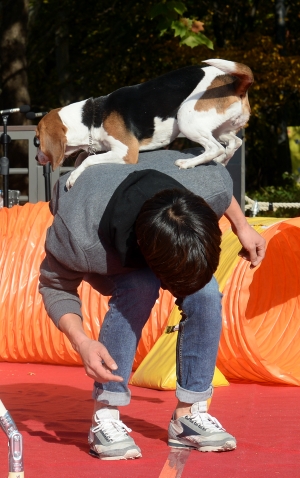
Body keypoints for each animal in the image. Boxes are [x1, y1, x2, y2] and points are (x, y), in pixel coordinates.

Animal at [34, 58, 253, 189]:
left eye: (37, 141)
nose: (36, 158)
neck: (93, 116)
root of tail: (235, 83)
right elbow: (84, 156)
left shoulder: (126, 152)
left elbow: (87, 160)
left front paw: (73, 177)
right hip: (219, 129)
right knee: (233, 143)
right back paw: (221, 161)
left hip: (186, 118)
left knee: (215, 148)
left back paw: (187, 163)